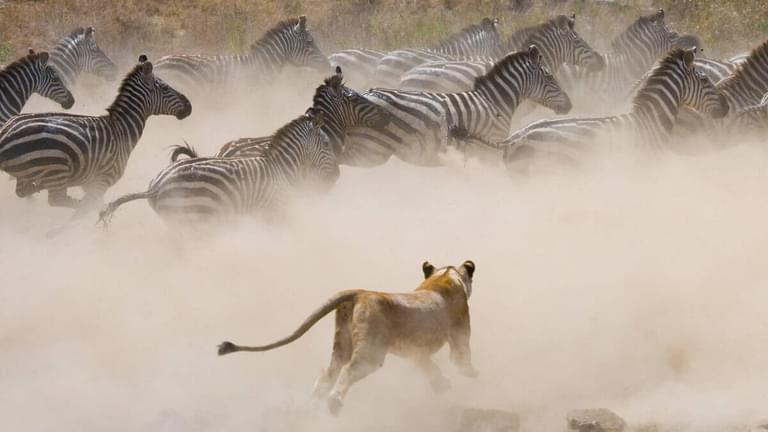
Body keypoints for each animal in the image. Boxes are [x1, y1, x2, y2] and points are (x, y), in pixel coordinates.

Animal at [0, 55, 191, 216]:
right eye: (165, 87)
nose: (189, 106)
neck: (122, 128)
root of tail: (6, 133)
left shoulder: (90, 183)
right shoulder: (102, 181)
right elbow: (88, 206)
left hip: (29, 172)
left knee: (24, 191)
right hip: (57, 168)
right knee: (57, 199)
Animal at [217, 260, 478, 415]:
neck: (445, 276)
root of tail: (360, 292)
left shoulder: (416, 351)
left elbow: (428, 367)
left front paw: (442, 386)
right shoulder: (459, 334)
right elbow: (460, 358)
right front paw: (471, 374)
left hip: (342, 343)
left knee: (328, 372)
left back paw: (314, 402)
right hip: (371, 352)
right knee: (348, 370)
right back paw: (334, 403)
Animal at [340, 45, 573, 167]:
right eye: (550, 77)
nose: (570, 105)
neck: (494, 102)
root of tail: (366, 93)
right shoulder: (488, 148)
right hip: (371, 149)